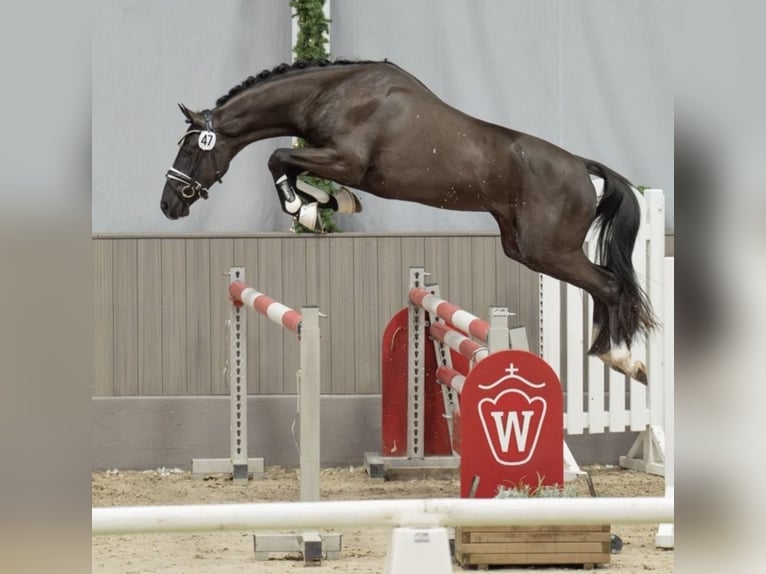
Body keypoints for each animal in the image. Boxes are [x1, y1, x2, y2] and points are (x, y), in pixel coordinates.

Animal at [162, 58, 660, 384]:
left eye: (189, 149)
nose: (169, 204)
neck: (333, 93)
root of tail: (580, 165)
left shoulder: (346, 159)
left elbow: (278, 158)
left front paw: (306, 208)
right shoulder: (337, 161)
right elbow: (295, 168)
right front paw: (327, 203)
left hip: (549, 249)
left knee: (609, 284)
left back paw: (622, 359)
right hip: (524, 247)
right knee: (602, 284)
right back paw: (609, 354)